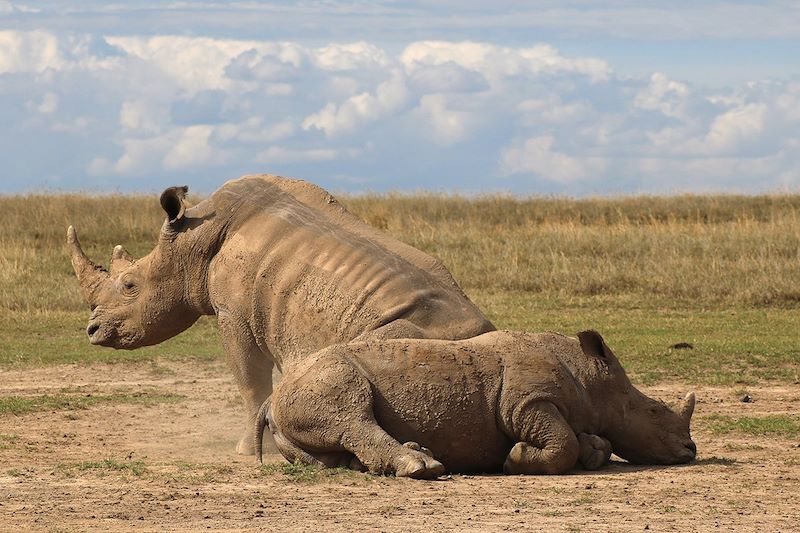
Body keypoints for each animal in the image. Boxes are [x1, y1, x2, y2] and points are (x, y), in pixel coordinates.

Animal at [69, 176, 494, 454]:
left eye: (130, 285)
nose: (92, 330)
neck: (193, 239)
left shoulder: (234, 314)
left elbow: (251, 382)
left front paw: (246, 450)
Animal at [260, 328, 696, 474]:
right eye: (654, 411)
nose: (691, 450)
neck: (590, 377)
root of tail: (272, 397)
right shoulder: (525, 403)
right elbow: (561, 442)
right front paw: (516, 459)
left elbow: (591, 442)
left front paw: (592, 451)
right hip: (321, 377)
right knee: (350, 414)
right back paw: (424, 467)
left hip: (298, 396)